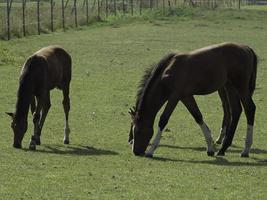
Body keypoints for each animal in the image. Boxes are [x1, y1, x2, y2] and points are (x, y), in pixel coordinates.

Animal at [129, 42, 258, 158]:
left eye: (138, 131)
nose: (135, 152)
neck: (169, 72)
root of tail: (247, 48)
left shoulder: (174, 96)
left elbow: (163, 120)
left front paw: (151, 150)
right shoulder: (185, 97)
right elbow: (198, 116)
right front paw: (210, 147)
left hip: (241, 87)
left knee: (249, 108)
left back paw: (246, 149)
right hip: (229, 87)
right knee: (235, 110)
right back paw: (223, 148)